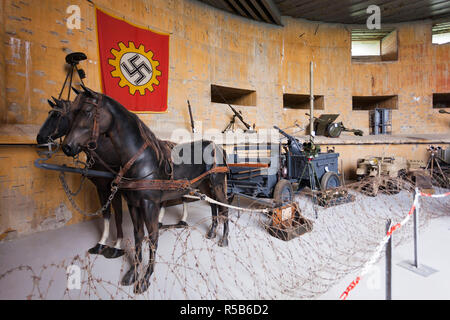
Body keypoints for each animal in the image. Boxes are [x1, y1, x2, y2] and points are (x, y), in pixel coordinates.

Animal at [61, 87, 229, 296]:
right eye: (73, 113)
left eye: (87, 112)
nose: (67, 146)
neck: (141, 159)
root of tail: (217, 147)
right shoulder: (134, 204)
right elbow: (138, 236)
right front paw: (133, 272)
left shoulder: (150, 205)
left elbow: (153, 238)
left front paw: (145, 278)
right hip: (205, 185)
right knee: (214, 207)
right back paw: (212, 232)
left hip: (218, 184)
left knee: (225, 209)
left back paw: (224, 239)